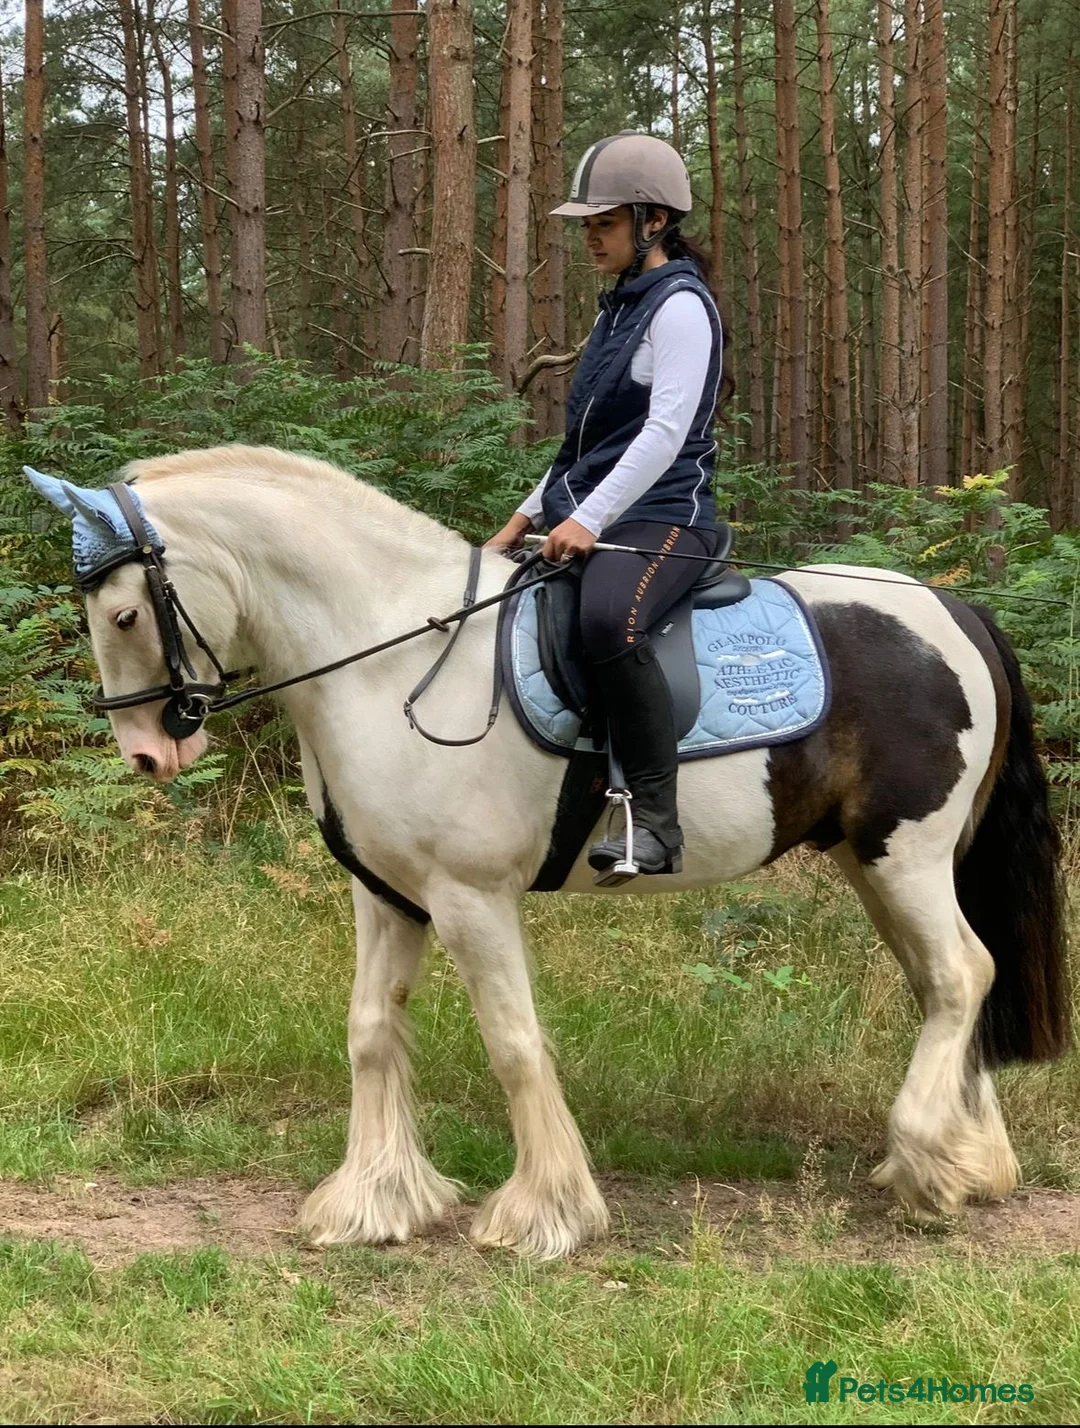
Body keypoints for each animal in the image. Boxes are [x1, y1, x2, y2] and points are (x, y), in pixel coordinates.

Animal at [36, 443, 1070, 1259]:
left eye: (124, 615)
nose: (145, 754)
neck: (390, 661)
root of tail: (955, 613)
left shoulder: (470, 899)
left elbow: (514, 1042)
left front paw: (544, 1216)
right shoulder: (388, 894)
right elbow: (370, 1031)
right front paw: (373, 1203)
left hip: (907, 854)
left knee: (961, 974)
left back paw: (928, 1167)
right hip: (876, 863)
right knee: (945, 983)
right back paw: (970, 1165)